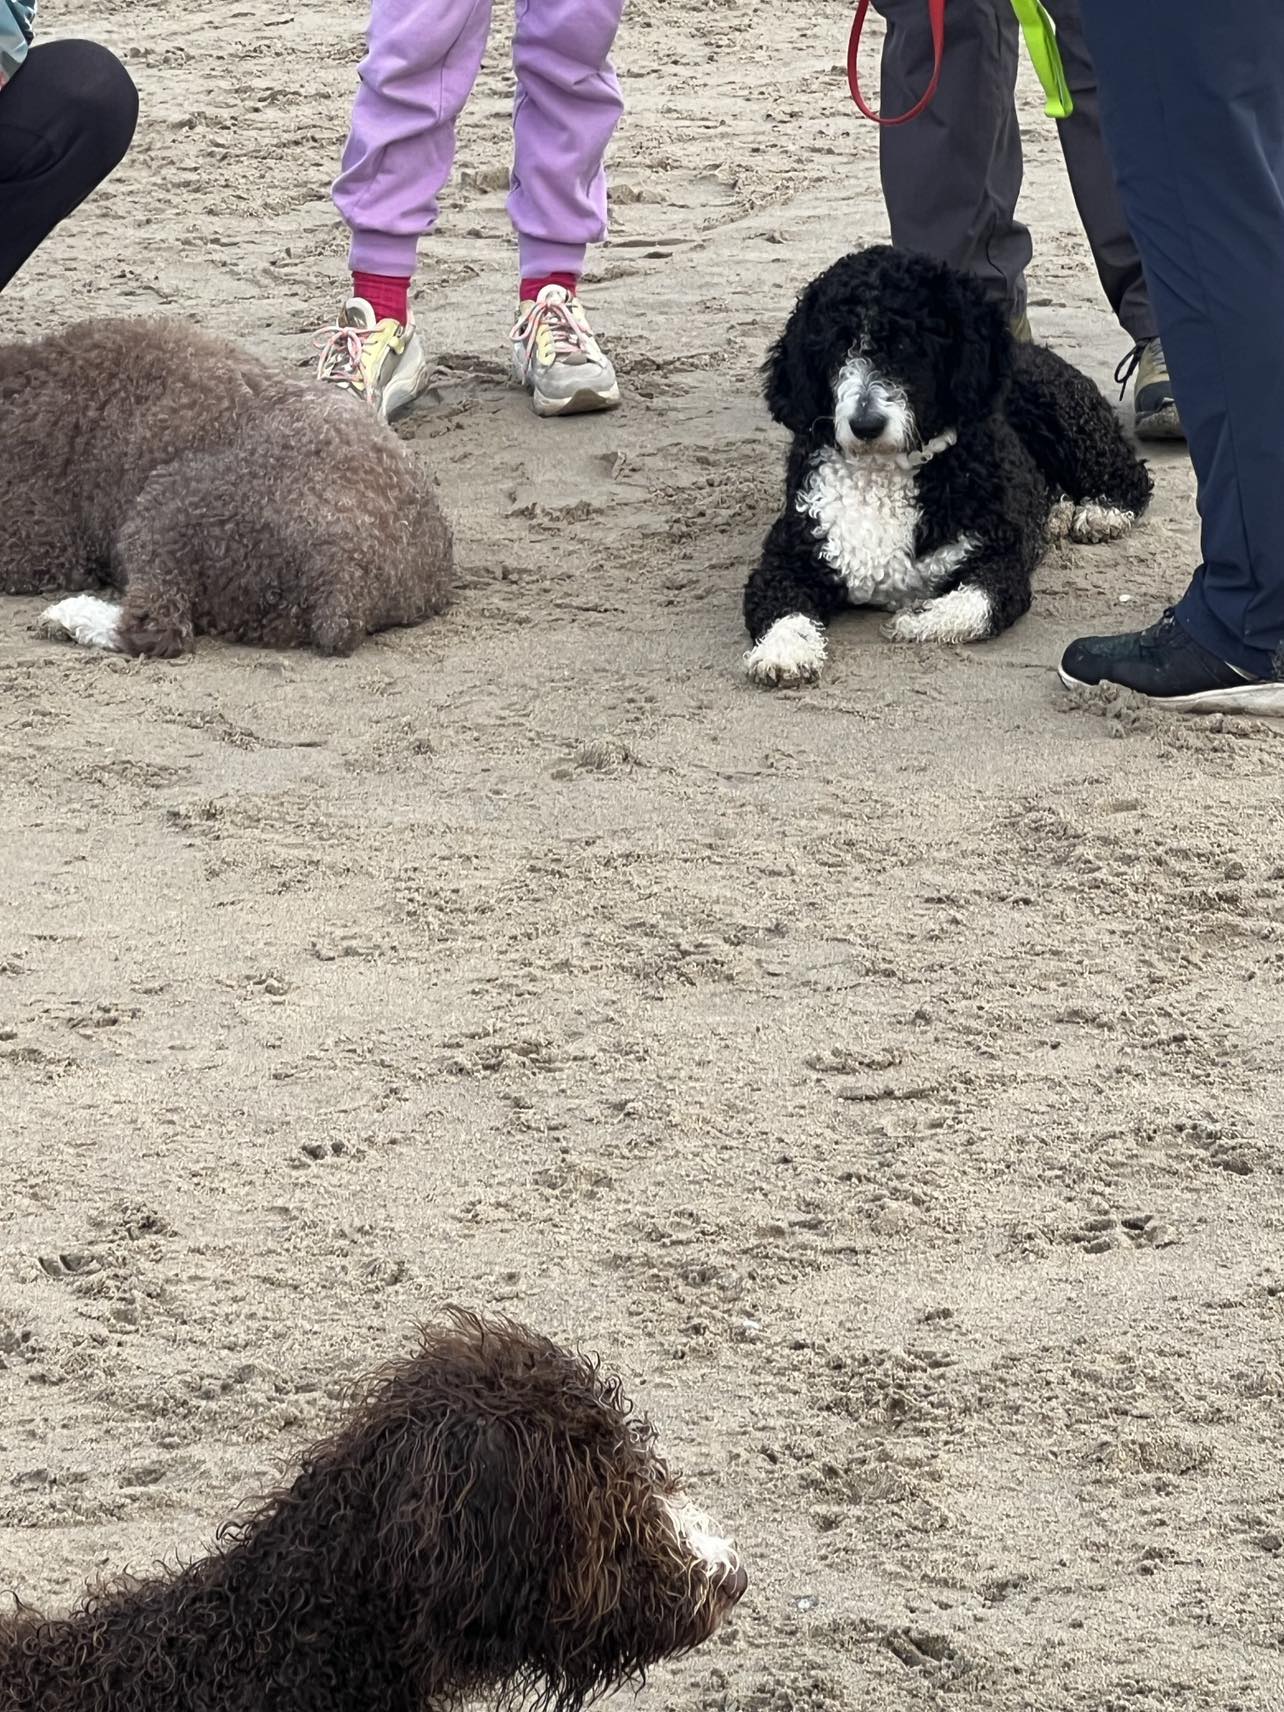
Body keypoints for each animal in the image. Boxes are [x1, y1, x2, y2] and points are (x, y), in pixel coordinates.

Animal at [743, 248, 1157, 688]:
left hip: (1065, 418)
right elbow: (782, 609)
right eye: (837, 346)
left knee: (1128, 473)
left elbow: (977, 602)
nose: (866, 424)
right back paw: (1057, 512)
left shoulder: (998, 559)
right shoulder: (788, 560)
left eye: (907, 342)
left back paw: (1102, 512)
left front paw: (919, 616)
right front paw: (784, 651)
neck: (884, 473)